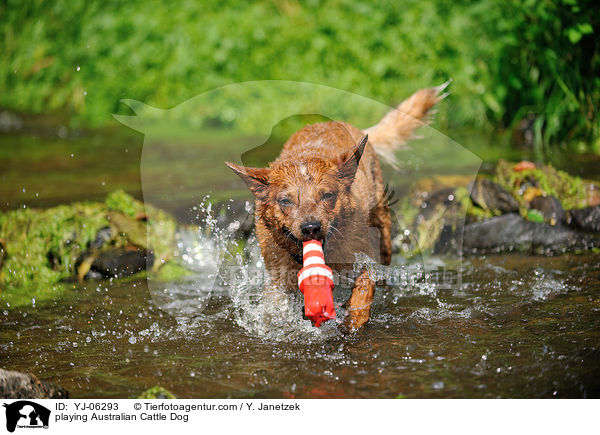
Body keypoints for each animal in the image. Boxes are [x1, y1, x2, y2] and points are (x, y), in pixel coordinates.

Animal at [227, 83, 448, 332]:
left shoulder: (363, 258)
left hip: (382, 226)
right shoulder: (278, 277)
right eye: (285, 201)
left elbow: (363, 290)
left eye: (327, 195)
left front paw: (353, 321)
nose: (311, 227)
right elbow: (275, 306)